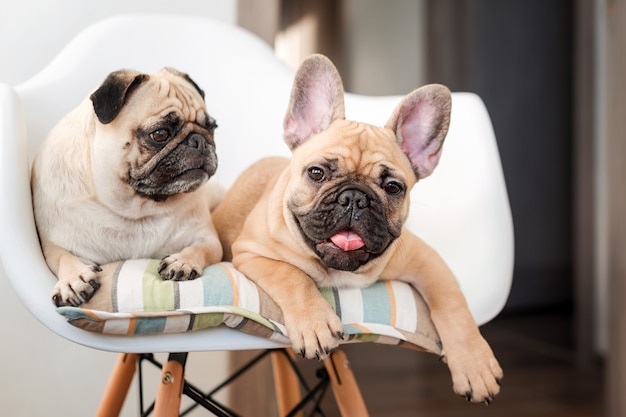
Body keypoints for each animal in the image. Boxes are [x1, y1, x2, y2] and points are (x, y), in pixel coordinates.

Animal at [31, 68, 223, 308]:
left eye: (212, 128)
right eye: (160, 134)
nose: (199, 141)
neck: (136, 208)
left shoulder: (207, 237)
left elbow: (202, 248)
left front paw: (183, 261)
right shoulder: (54, 241)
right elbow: (62, 256)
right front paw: (73, 278)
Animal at [212, 55, 500, 404]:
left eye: (393, 187)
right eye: (317, 173)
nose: (354, 198)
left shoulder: (429, 262)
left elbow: (454, 306)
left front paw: (475, 365)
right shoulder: (252, 253)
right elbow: (292, 276)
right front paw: (315, 324)